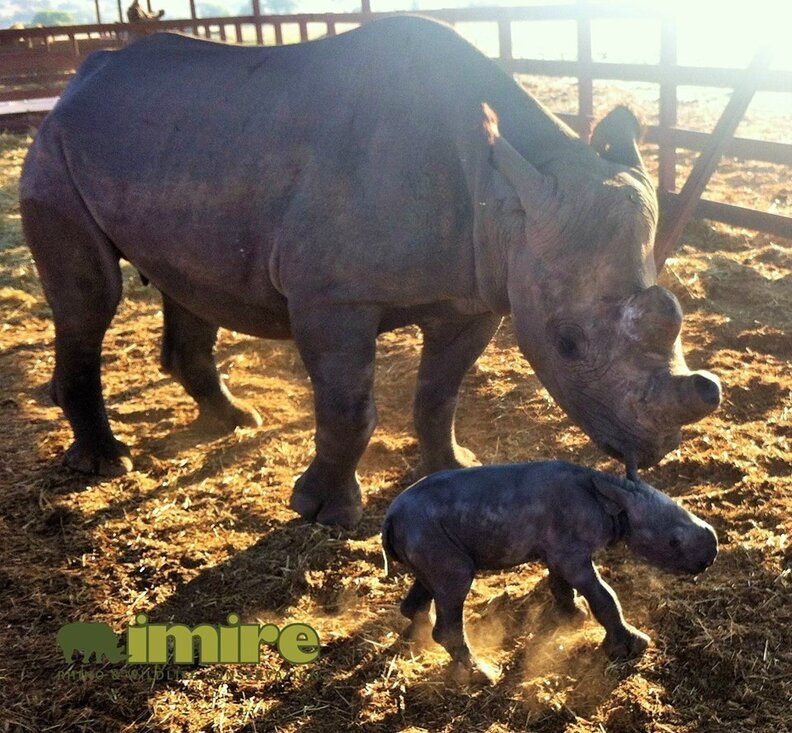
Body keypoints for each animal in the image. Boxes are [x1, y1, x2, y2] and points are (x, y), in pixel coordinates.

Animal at [20, 17, 720, 528]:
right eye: (568, 344)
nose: (655, 451)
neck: (506, 194)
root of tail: (78, 81)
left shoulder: (479, 292)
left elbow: (441, 391)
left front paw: (453, 465)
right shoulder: (334, 298)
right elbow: (349, 406)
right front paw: (326, 514)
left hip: (181, 147)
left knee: (188, 285)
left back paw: (238, 421)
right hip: (56, 146)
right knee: (92, 299)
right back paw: (107, 464)